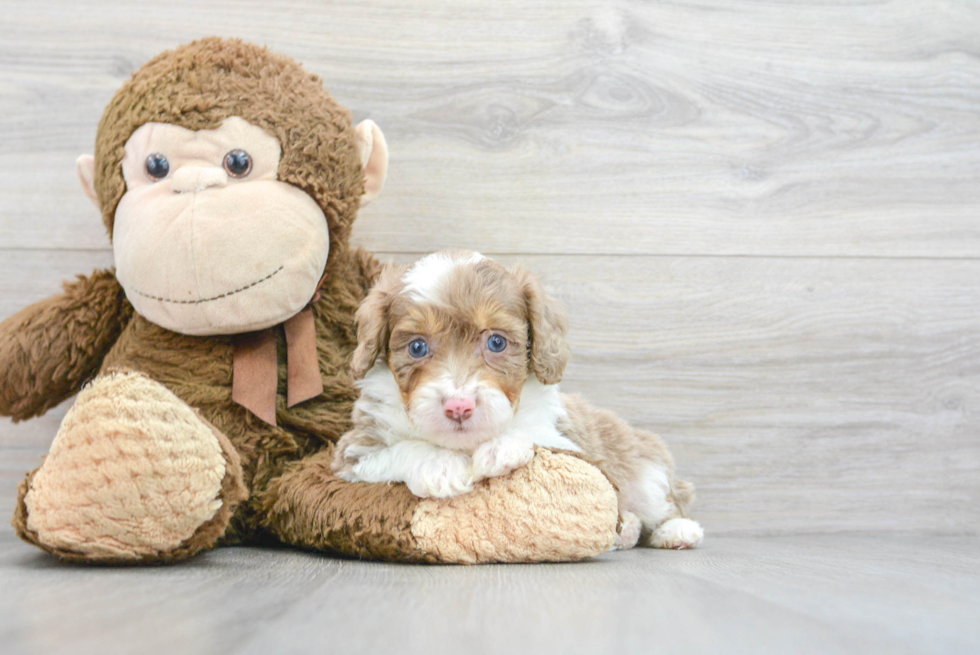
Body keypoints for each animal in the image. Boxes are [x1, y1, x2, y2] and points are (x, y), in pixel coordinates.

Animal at [334, 251, 704, 548]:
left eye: (496, 342)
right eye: (417, 347)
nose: (459, 407)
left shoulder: (570, 442)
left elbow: (535, 434)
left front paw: (501, 447)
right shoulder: (352, 452)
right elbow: (400, 449)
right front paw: (440, 465)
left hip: (649, 475)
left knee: (673, 499)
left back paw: (677, 531)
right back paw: (627, 530)